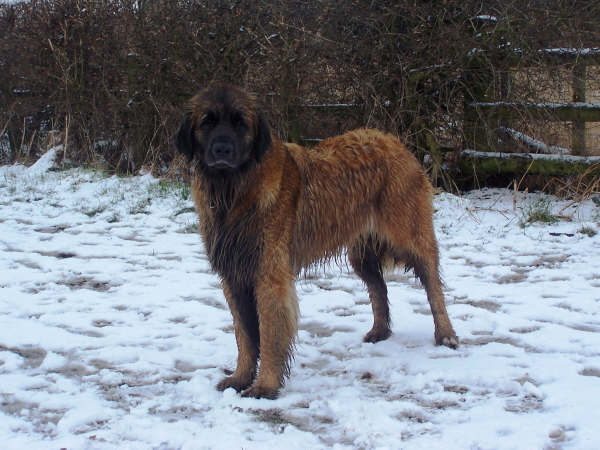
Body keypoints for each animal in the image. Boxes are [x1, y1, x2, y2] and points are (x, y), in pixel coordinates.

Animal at [176, 86, 458, 400]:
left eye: (240, 123)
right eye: (208, 122)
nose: (222, 150)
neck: (235, 189)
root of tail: (394, 141)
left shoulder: (269, 274)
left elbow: (270, 333)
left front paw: (265, 385)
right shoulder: (233, 275)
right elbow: (245, 335)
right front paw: (240, 378)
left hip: (409, 236)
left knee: (432, 283)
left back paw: (445, 334)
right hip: (362, 253)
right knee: (378, 287)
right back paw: (380, 331)